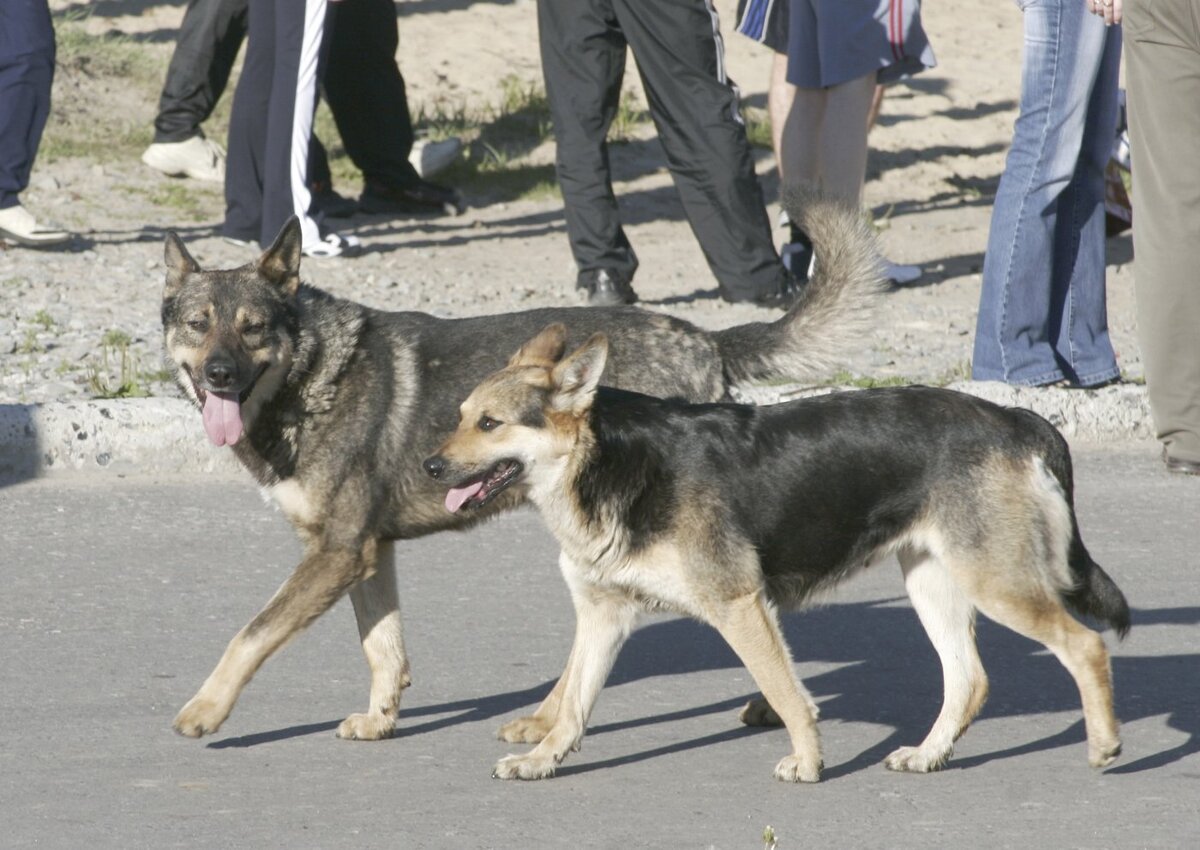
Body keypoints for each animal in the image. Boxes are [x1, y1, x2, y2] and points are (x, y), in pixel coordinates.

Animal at [159, 192, 878, 734]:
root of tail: (707, 340)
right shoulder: (365, 553)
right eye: (198, 324)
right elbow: (382, 648)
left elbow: (251, 633)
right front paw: (381, 719)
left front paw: (204, 709)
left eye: (253, 328)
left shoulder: (337, 553)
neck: (310, 379)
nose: (219, 375)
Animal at [427, 326, 1128, 782]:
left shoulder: (739, 606)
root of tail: (1012, 417)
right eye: (459, 416)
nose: (430, 466)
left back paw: (1104, 745)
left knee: (1085, 646)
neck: (605, 462)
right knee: (969, 680)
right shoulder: (604, 616)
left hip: (996, 584)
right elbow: (573, 704)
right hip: (934, 584)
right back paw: (928, 755)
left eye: (490, 425)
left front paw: (810, 762)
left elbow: (786, 693)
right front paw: (541, 760)